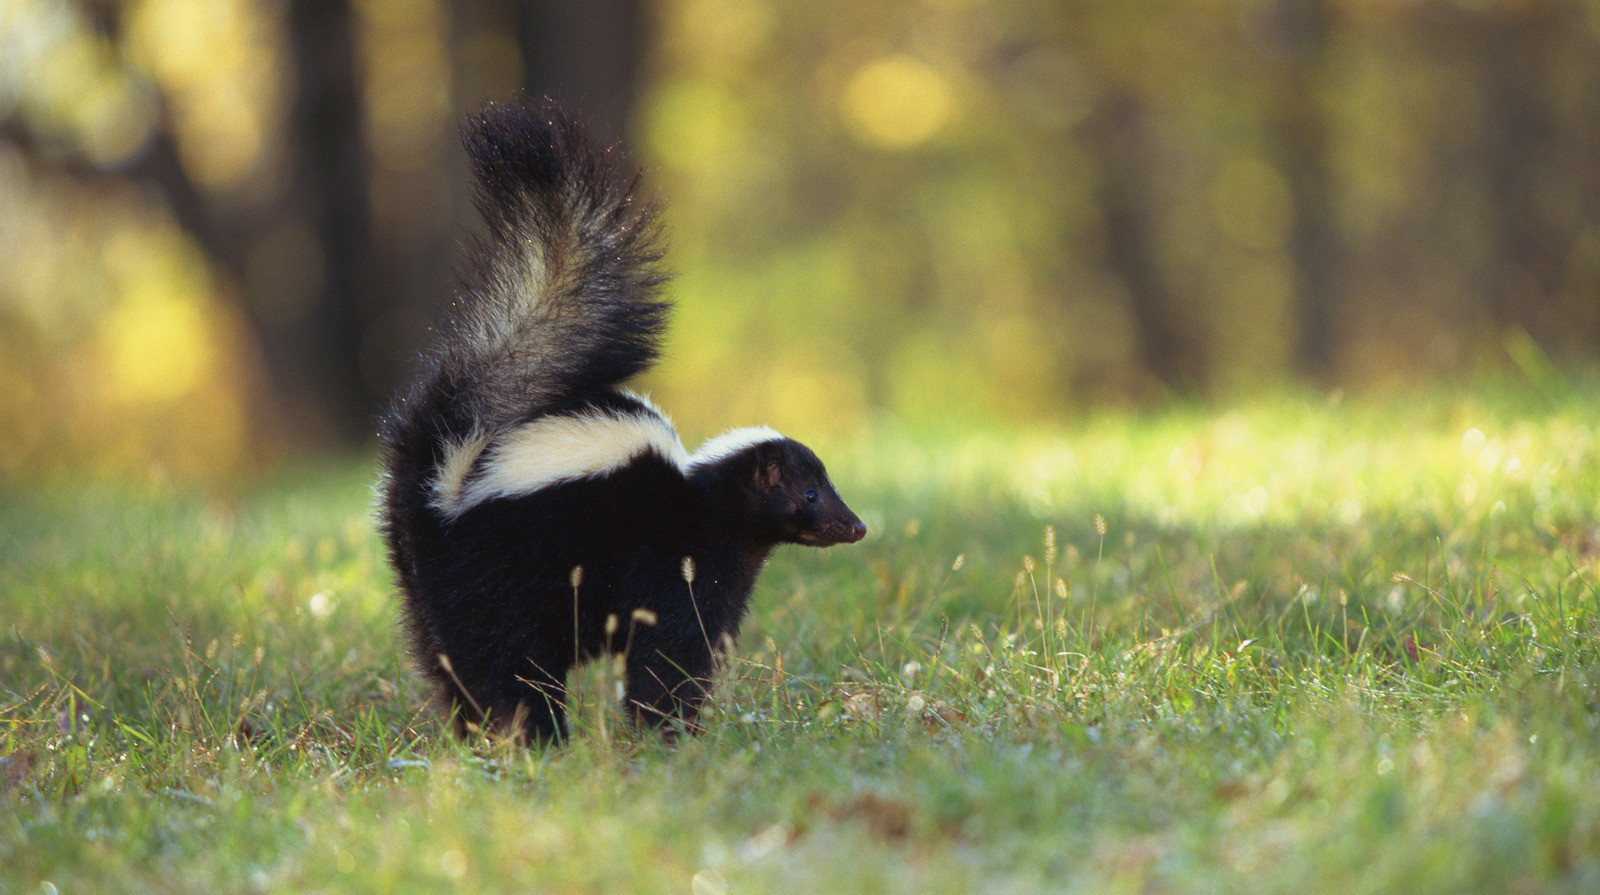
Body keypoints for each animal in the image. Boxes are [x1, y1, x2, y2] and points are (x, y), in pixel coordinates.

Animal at [377, 94, 864, 746]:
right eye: (809, 494)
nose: (855, 526)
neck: (705, 501)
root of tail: (443, 485)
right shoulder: (676, 568)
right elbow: (670, 654)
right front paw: (669, 733)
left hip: (428, 594)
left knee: (449, 662)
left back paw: (478, 737)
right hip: (502, 581)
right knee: (509, 663)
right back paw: (537, 736)